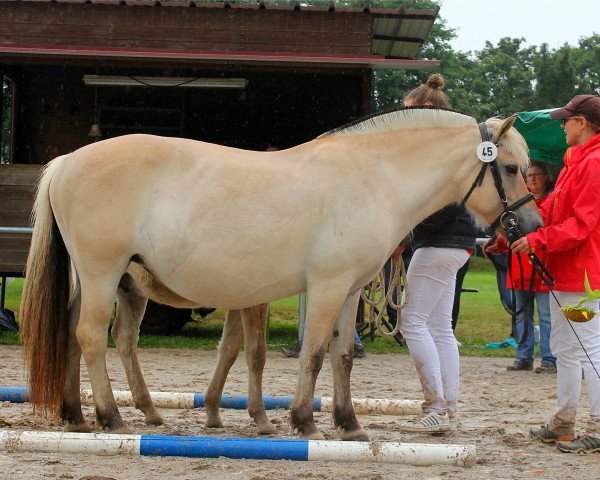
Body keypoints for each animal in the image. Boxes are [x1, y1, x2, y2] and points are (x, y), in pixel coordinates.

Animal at [21, 107, 540, 440]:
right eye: (512, 168)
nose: (532, 228)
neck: (374, 176)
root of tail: (68, 161)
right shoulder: (327, 287)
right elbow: (312, 353)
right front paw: (303, 420)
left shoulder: (351, 290)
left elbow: (342, 356)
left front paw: (349, 423)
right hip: (103, 274)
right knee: (90, 335)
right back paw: (110, 417)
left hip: (97, 281)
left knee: (71, 331)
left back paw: (75, 415)